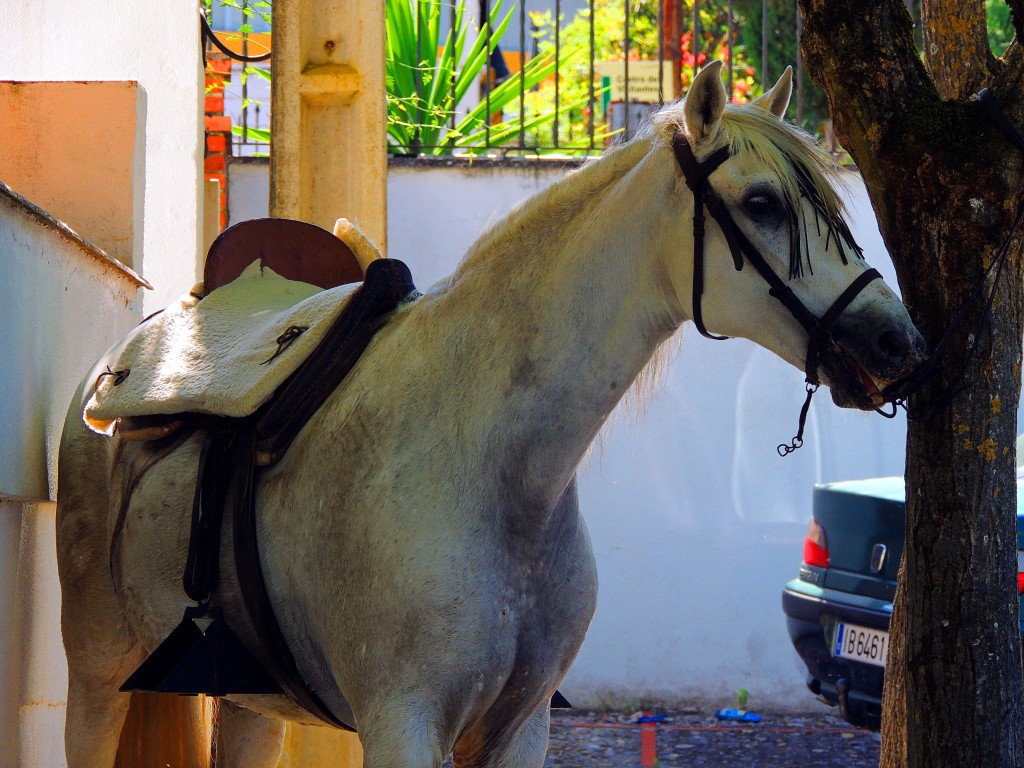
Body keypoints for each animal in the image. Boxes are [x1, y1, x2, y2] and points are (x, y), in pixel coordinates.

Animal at [54, 61, 929, 768]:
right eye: (762, 202)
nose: (897, 341)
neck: (487, 464)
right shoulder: (402, 726)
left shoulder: (520, 728)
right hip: (97, 674)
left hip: (252, 706)